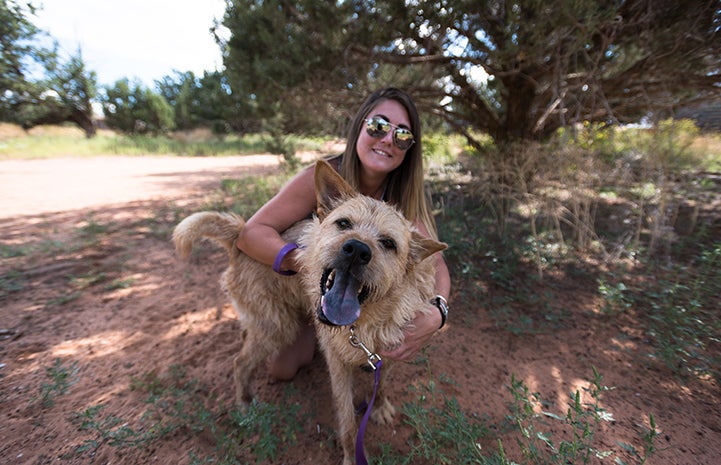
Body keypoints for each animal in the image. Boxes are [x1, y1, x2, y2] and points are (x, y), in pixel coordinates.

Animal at [174, 159, 444, 460]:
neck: (364, 322)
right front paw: (351, 457)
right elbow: (348, 422)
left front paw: (380, 405)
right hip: (278, 327)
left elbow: (382, 382)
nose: (356, 249)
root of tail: (238, 238)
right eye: (343, 223)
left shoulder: (392, 351)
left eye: (388, 243)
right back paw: (244, 404)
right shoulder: (337, 363)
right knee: (239, 362)